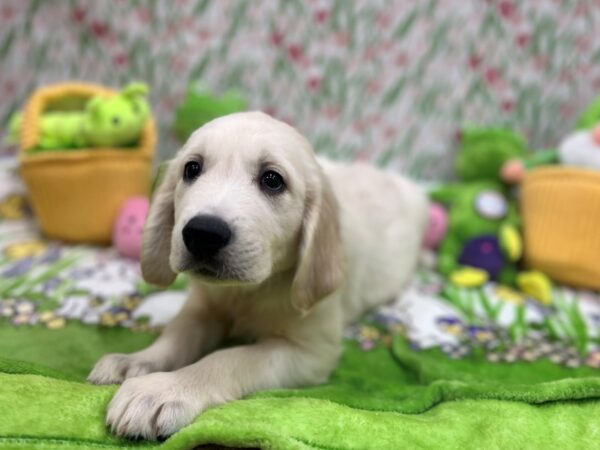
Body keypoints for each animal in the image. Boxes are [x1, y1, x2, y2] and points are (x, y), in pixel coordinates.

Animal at [88, 111, 426, 440]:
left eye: (272, 180)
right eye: (192, 169)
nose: (203, 234)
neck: (248, 290)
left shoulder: (310, 351)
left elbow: (229, 358)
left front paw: (165, 389)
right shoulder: (204, 306)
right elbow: (177, 334)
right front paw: (135, 361)